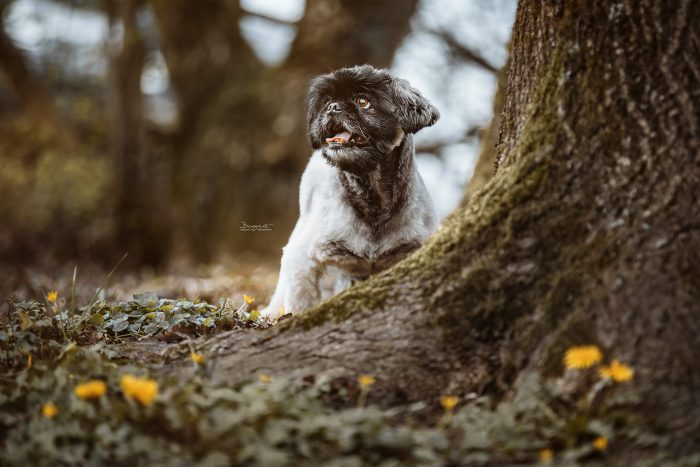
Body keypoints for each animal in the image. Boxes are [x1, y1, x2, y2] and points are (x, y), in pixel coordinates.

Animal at [260, 65, 440, 318]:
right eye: (327, 101)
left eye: (362, 101)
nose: (333, 107)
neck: (372, 196)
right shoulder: (302, 260)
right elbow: (300, 302)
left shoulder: (414, 249)